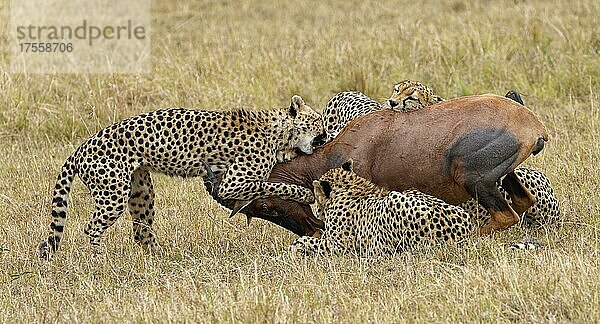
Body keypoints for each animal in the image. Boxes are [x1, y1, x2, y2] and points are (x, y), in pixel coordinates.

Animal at [38, 95, 324, 260]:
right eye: (318, 124)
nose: (324, 138)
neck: (279, 130)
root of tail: (81, 147)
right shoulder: (233, 183)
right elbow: (271, 185)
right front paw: (305, 193)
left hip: (142, 192)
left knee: (141, 231)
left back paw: (161, 258)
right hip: (113, 195)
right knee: (92, 227)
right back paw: (100, 260)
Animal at [290, 161, 474, 256]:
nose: (317, 211)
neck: (352, 186)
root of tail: (465, 233)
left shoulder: (340, 246)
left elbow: (313, 242)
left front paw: (298, 244)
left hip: (395, 199)